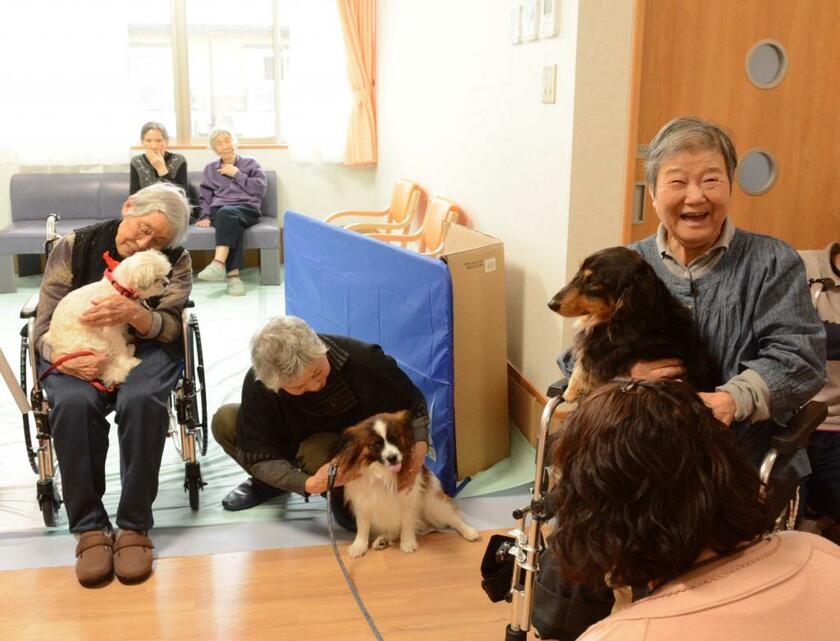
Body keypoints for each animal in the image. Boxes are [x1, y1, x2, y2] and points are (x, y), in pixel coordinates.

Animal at [45, 248, 173, 382]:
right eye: (156, 279)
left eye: (165, 274)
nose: (166, 283)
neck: (121, 289)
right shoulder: (111, 329)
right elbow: (119, 348)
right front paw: (126, 358)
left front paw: (126, 336)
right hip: (98, 344)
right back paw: (129, 356)